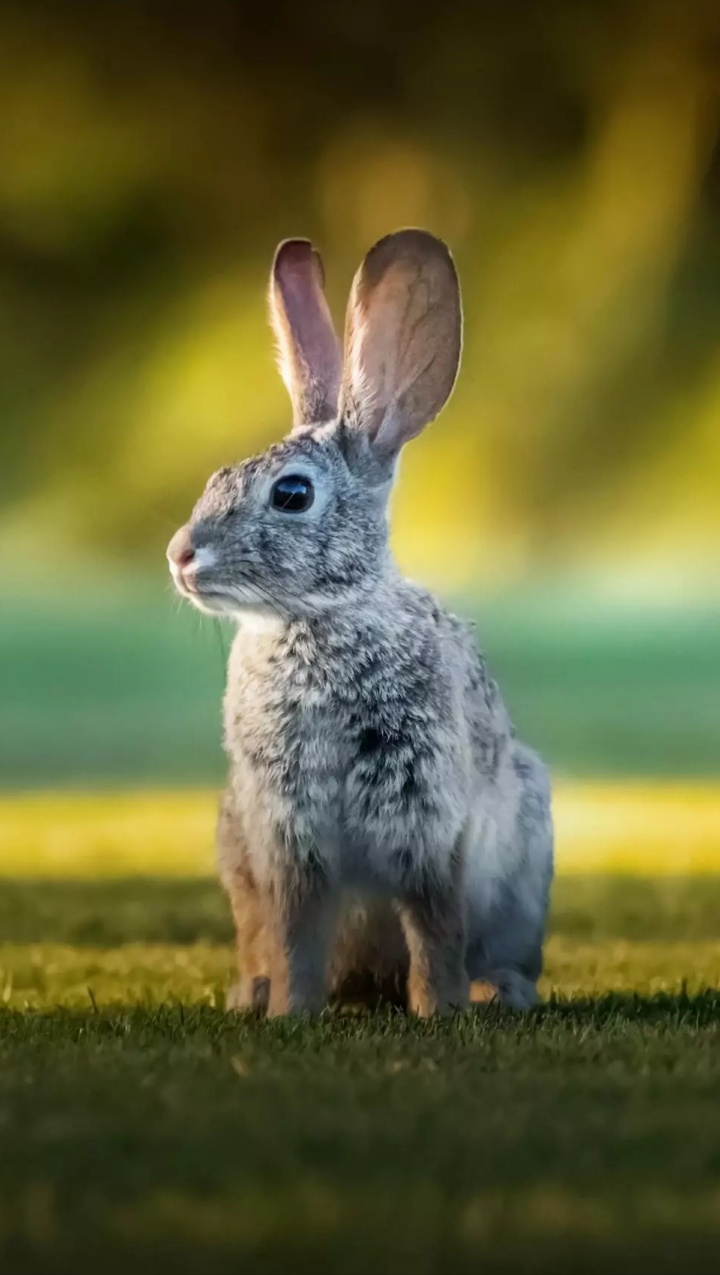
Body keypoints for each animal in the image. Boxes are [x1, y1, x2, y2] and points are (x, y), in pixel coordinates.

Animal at [167, 229, 554, 1017]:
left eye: (292, 495)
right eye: (217, 478)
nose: (181, 555)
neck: (317, 616)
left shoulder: (426, 817)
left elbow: (434, 924)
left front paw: (441, 1011)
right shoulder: (287, 833)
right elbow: (295, 931)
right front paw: (290, 1013)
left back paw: (499, 991)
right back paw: (253, 992)